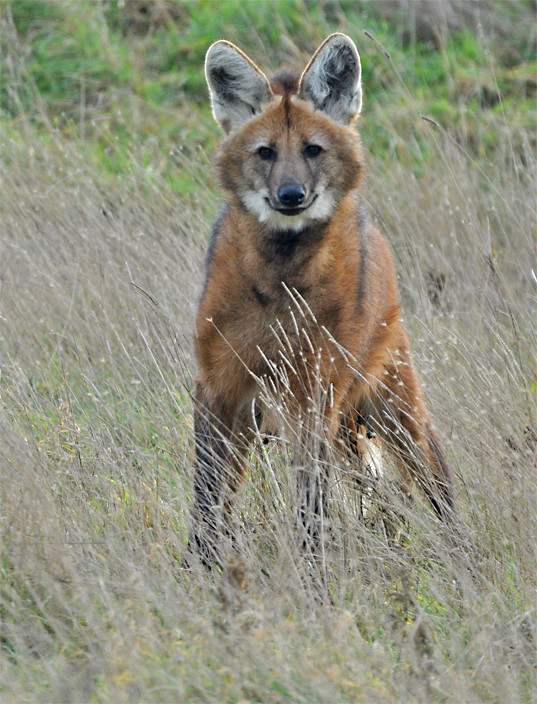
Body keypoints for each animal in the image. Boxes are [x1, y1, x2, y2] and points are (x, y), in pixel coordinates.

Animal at [190, 33, 455, 563]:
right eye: (265, 152)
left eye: (313, 150)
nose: (291, 195)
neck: (279, 280)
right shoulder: (221, 388)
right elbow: (207, 502)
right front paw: (200, 569)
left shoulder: (313, 399)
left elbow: (311, 509)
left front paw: (313, 574)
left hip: (392, 404)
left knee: (435, 480)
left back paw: (466, 558)